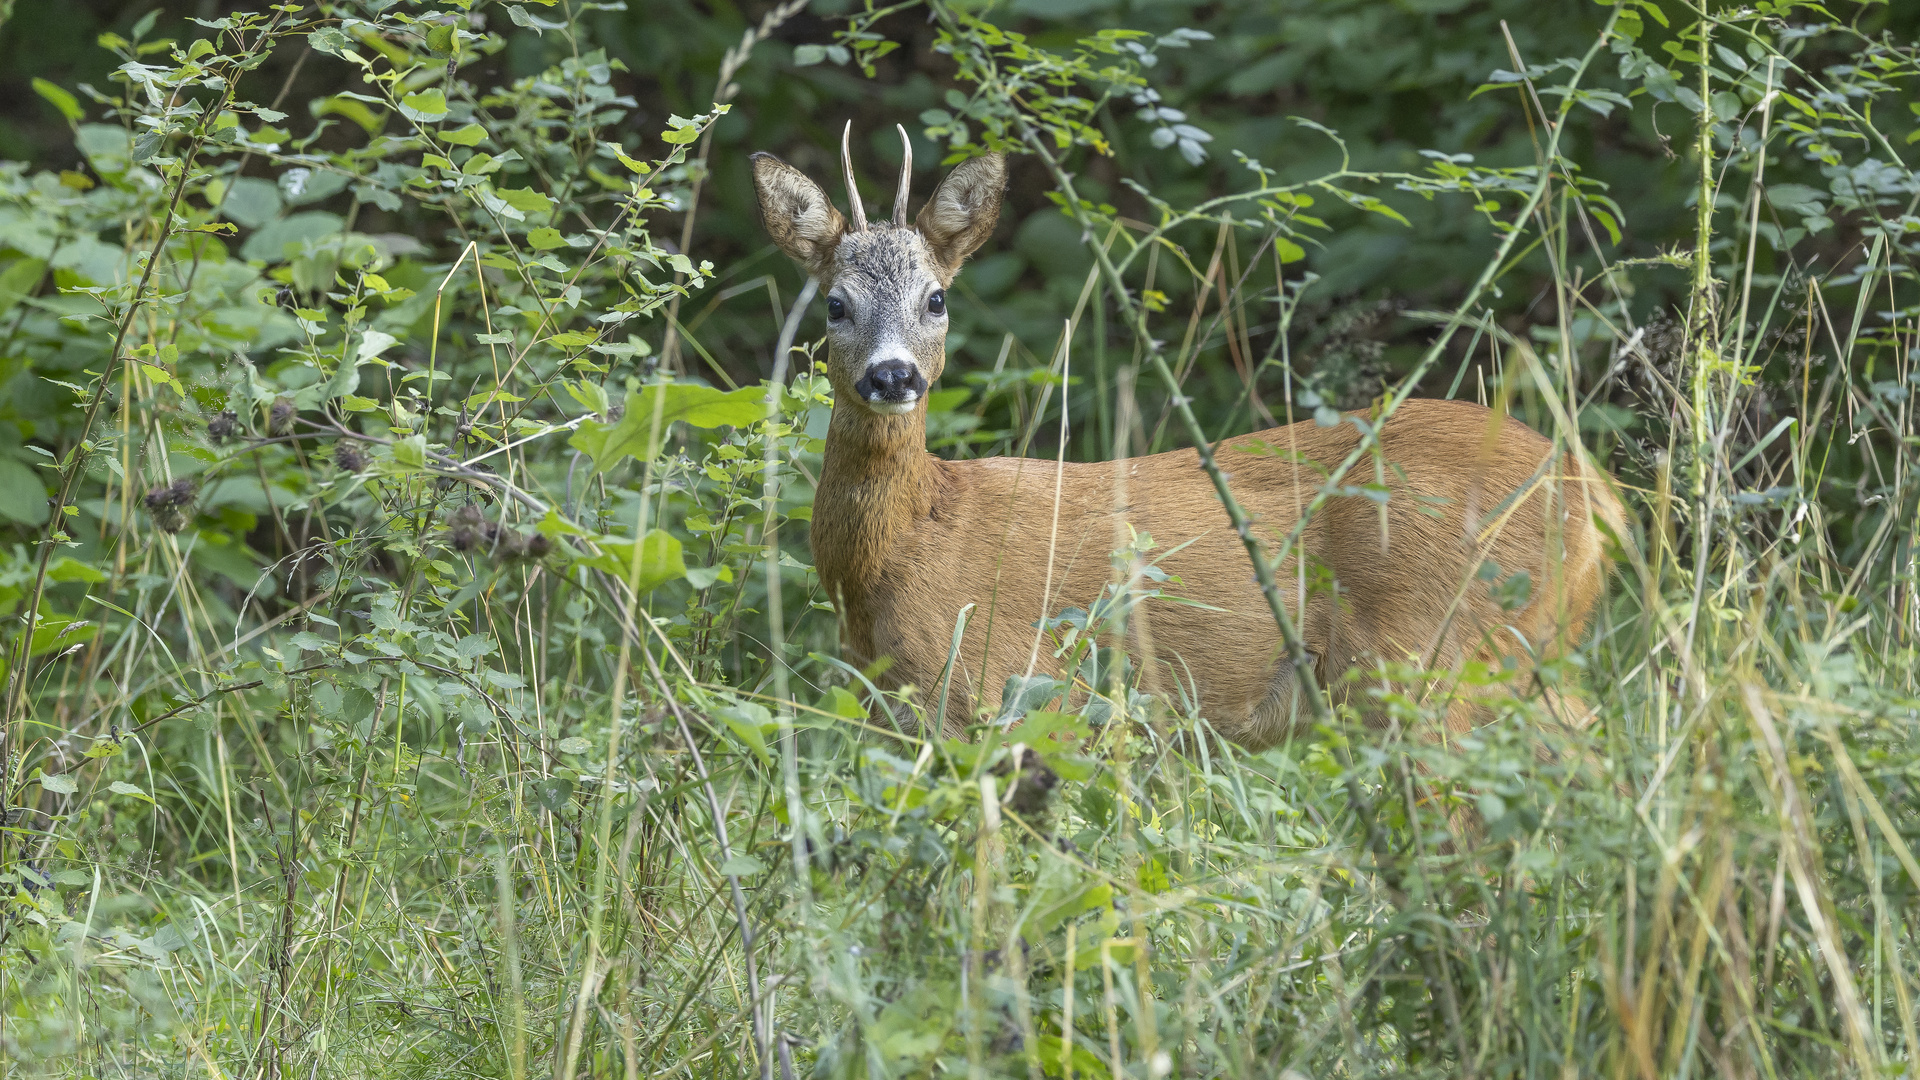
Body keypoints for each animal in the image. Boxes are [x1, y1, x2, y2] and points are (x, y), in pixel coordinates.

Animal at [748, 125, 1620, 745]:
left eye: (936, 298)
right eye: (835, 304)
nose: (894, 376)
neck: (903, 548)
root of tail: (1596, 496)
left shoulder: (1008, 690)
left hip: (1433, 658)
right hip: (1517, 658)